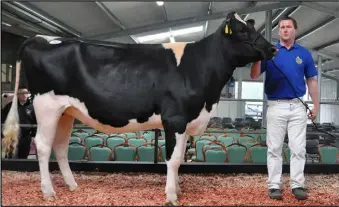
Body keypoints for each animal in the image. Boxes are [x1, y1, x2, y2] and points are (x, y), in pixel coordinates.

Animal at [2, 12, 278, 205]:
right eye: (242, 31)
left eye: (252, 27)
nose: (273, 48)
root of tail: (40, 38)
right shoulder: (175, 118)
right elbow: (173, 159)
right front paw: (171, 195)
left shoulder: (186, 121)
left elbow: (179, 158)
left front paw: (177, 189)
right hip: (46, 106)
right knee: (43, 145)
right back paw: (48, 192)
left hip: (67, 112)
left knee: (59, 147)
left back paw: (72, 186)